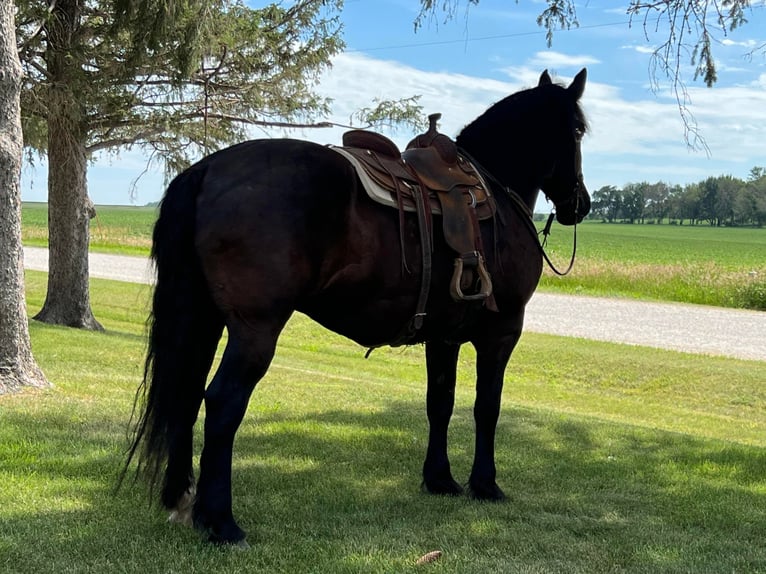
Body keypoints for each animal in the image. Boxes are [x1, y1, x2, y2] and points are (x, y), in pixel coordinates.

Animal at [126, 67, 592, 544]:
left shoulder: (442, 337)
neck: (493, 193)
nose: (581, 204)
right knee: (222, 403)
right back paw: (221, 521)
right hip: (255, 330)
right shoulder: (501, 332)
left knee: (185, 394)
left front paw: (440, 479)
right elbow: (487, 407)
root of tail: (207, 169)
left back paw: (181, 500)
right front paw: (486, 484)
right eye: (578, 130)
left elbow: (440, 402)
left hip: (203, 319)